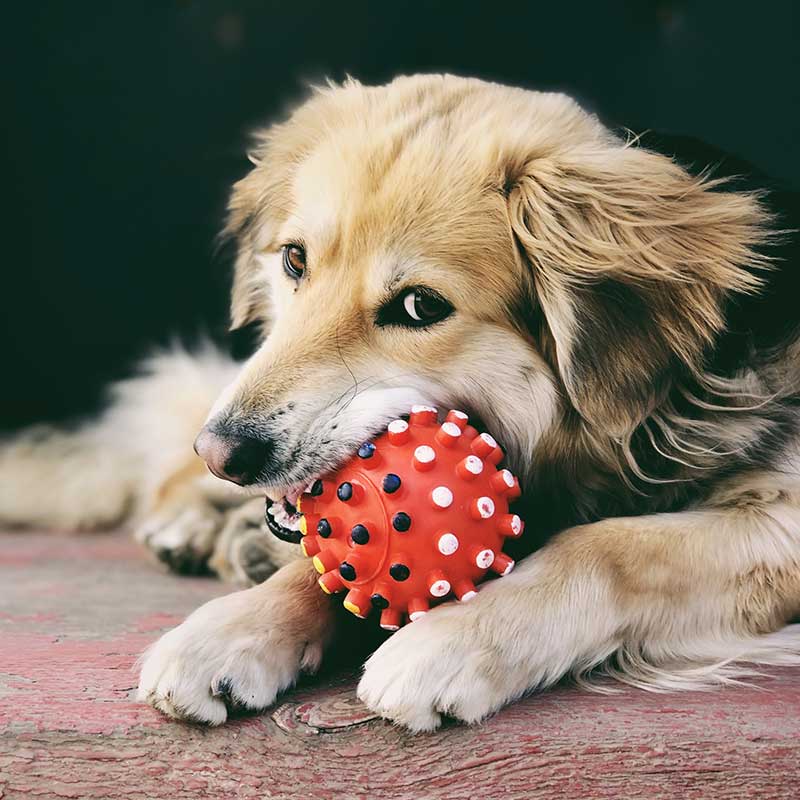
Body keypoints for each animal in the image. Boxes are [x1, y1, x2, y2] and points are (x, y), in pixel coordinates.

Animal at [1, 75, 800, 732]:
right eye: (294, 260)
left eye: (420, 306)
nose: (221, 452)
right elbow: (324, 564)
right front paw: (232, 630)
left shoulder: (779, 519)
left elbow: (608, 547)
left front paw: (454, 641)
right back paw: (196, 527)